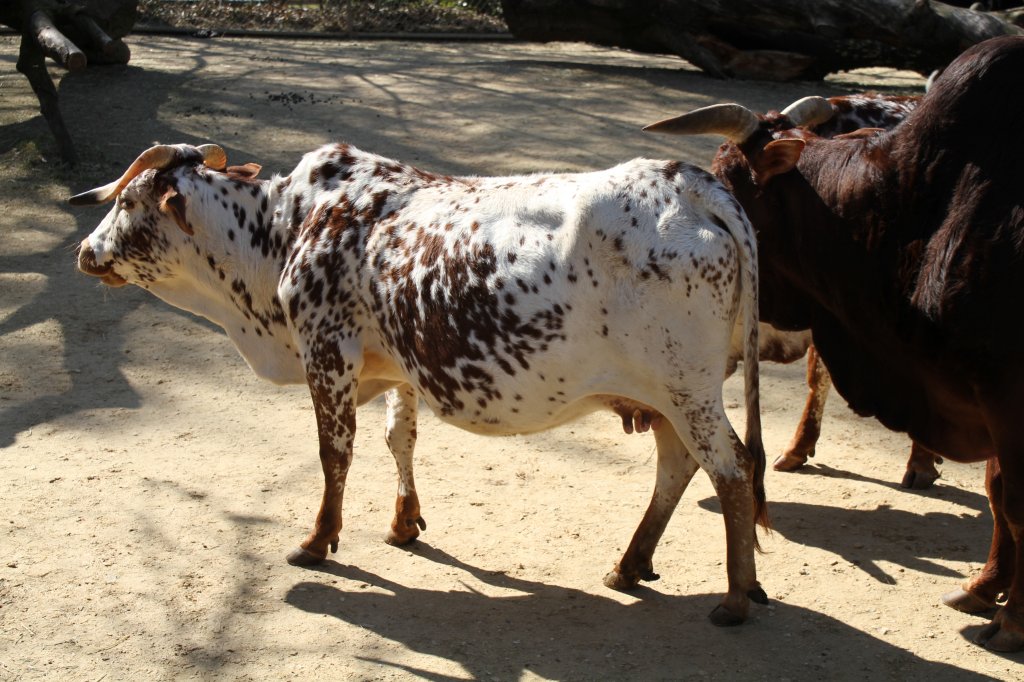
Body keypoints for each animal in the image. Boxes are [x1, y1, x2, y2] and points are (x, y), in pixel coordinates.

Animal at [72, 140, 770, 622]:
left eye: (128, 203)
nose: (85, 252)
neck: (282, 232)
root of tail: (691, 183)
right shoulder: (395, 364)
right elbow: (398, 439)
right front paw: (404, 522)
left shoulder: (326, 350)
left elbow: (334, 454)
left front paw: (318, 539)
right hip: (667, 396)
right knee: (679, 466)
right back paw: (630, 565)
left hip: (687, 389)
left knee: (733, 470)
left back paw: (734, 598)